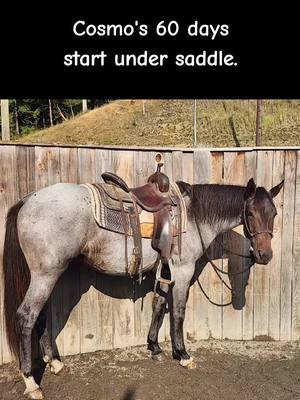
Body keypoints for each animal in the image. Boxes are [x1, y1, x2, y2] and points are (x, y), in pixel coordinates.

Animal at [2, 177, 284, 396]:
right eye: (250, 214)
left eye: (274, 213)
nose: (264, 255)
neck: (193, 216)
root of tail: (27, 200)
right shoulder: (183, 271)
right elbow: (178, 312)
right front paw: (183, 355)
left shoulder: (164, 270)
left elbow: (158, 305)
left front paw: (154, 347)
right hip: (45, 275)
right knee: (26, 317)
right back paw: (32, 383)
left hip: (50, 275)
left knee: (41, 316)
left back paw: (56, 364)